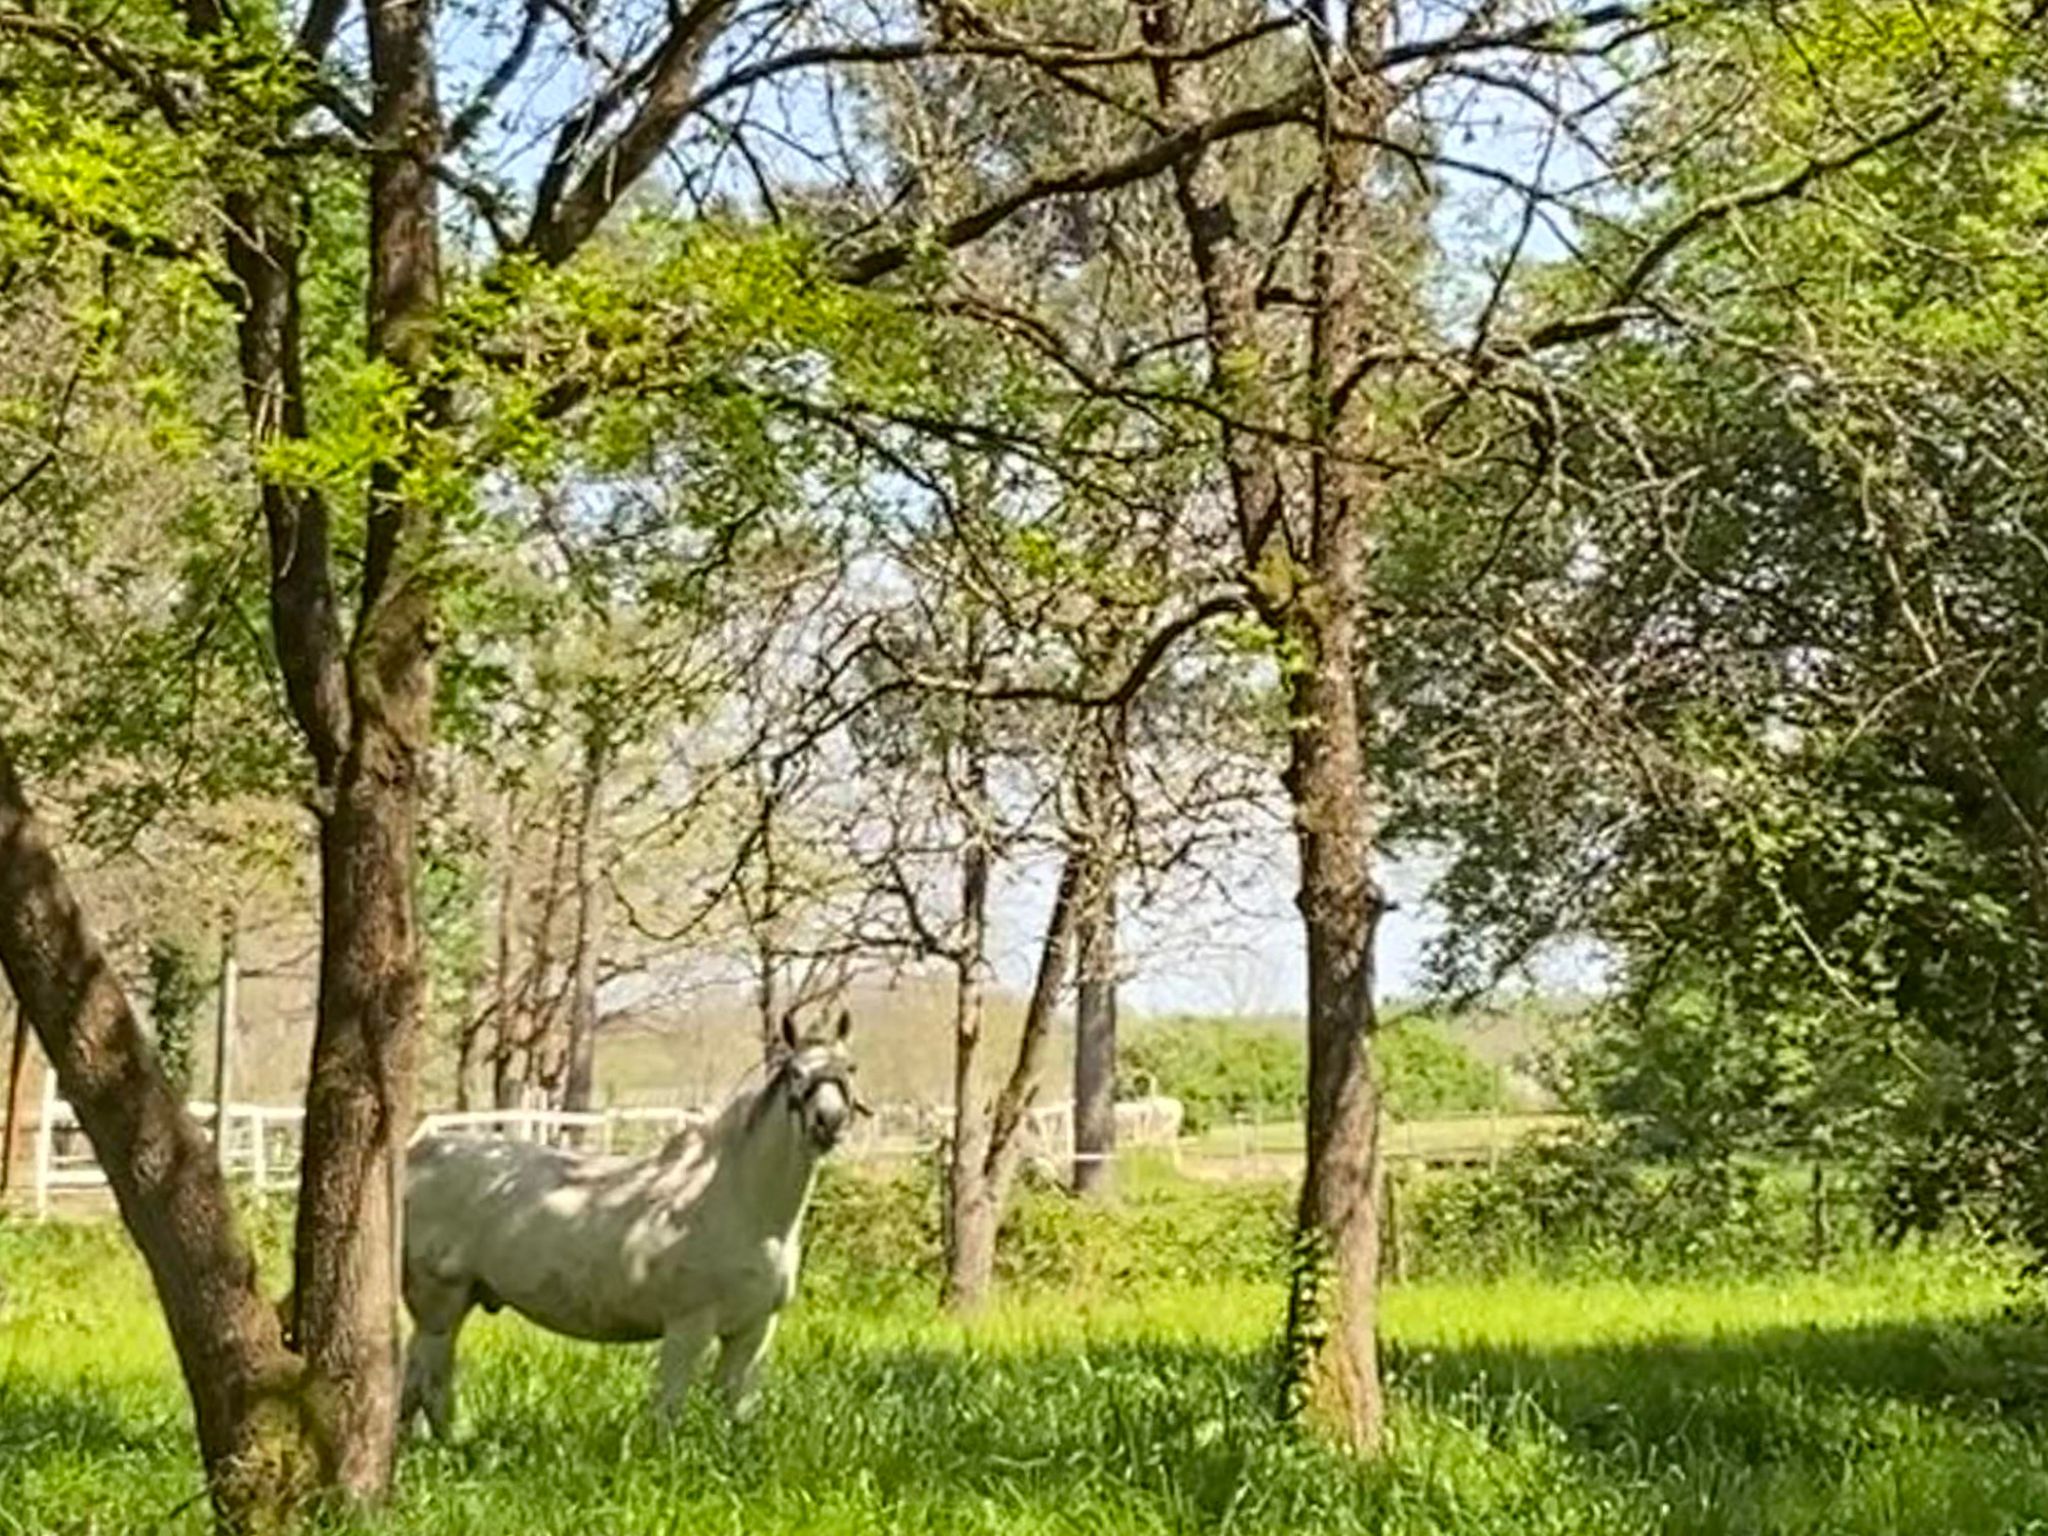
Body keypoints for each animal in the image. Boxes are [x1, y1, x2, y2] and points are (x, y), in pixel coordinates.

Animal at [399, 1010, 857, 1438]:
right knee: (430, 1383)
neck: (744, 1206)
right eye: (796, 1072)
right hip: (441, 1304)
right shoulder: (688, 1328)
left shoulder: (754, 1329)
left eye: (849, 1069)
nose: (829, 1122)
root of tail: (416, 1158)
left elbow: (734, 1410)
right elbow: (667, 1411)